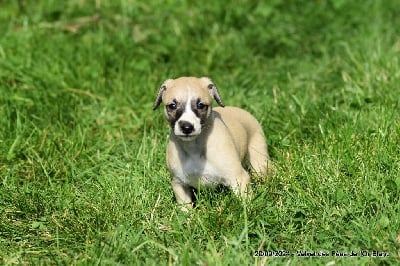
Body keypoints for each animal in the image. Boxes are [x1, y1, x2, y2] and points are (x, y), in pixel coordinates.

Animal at [153, 76, 276, 209]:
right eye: (172, 106)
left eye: (201, 105)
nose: (186, 127)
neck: (194, 147)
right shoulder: (179, 183)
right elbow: (185, 208)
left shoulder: (238, 178)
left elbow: (246, 204)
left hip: (259, 163)